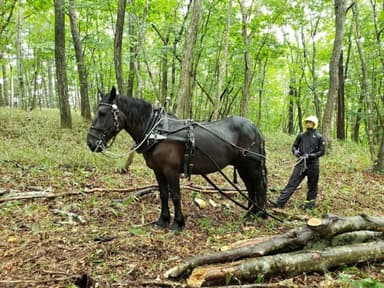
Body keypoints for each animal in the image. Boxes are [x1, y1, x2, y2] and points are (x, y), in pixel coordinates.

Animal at [87, 87, 268, 232]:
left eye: (102, 113)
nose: (90, 143)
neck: (157, 131)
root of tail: (255, 127)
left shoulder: (171, 170)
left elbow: (175, 195)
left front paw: (178, 223)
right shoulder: (158, 170)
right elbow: (163, 194)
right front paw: (162, 220)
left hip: (251, 166)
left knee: (258, 186)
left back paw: (260, 214)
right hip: (244, 166)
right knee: (250, 187)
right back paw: (250, 213)